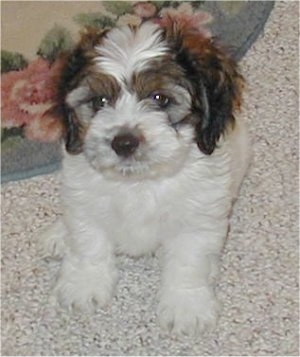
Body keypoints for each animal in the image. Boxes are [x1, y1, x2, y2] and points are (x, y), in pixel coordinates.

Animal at [41, 18, 251, 336]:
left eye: (160, 98)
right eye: (99, 101)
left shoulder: (198, 217)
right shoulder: (84, 200)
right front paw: (84, 284)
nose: (124, 142)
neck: (138, 183)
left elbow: (188, 260)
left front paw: (186, 306)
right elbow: (88, 242)